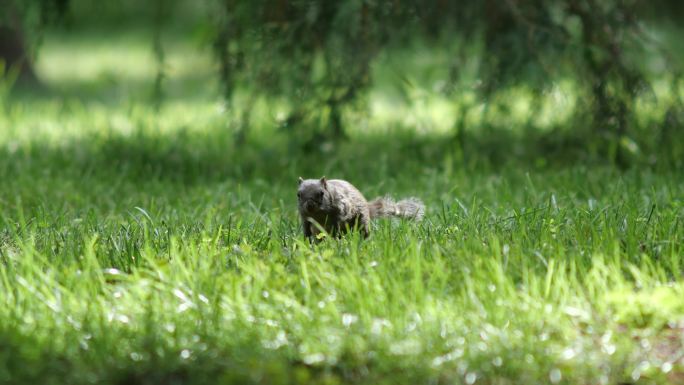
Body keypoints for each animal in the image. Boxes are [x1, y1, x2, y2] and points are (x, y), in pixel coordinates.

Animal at [296, 176, 424, 240]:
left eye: (321, 194)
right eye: (298, 195)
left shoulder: (339, 211)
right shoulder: (305, 217)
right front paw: (306, 241)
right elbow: (306, 230)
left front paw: (336, 237)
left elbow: (336, 225)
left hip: (362, 220)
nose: (310, 206)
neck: (318, 214)